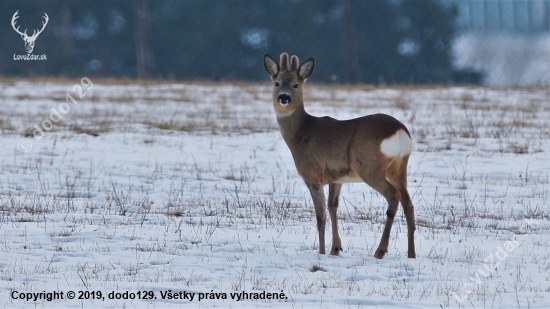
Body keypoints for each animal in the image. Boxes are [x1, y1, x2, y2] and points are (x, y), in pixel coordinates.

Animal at [266, 53, 416, 258]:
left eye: (296, 84)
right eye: (277, 83)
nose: (283, 97)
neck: (299, 131)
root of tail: (399, 132)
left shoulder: (312, 175)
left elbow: (320, 216)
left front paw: (321, 252)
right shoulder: (336, 177)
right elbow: (333, 206)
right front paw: (335, 249)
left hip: (369, 167)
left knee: (394, 196)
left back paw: (380, 251)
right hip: (399, 167)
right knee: (408, 203)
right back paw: (411, 254)